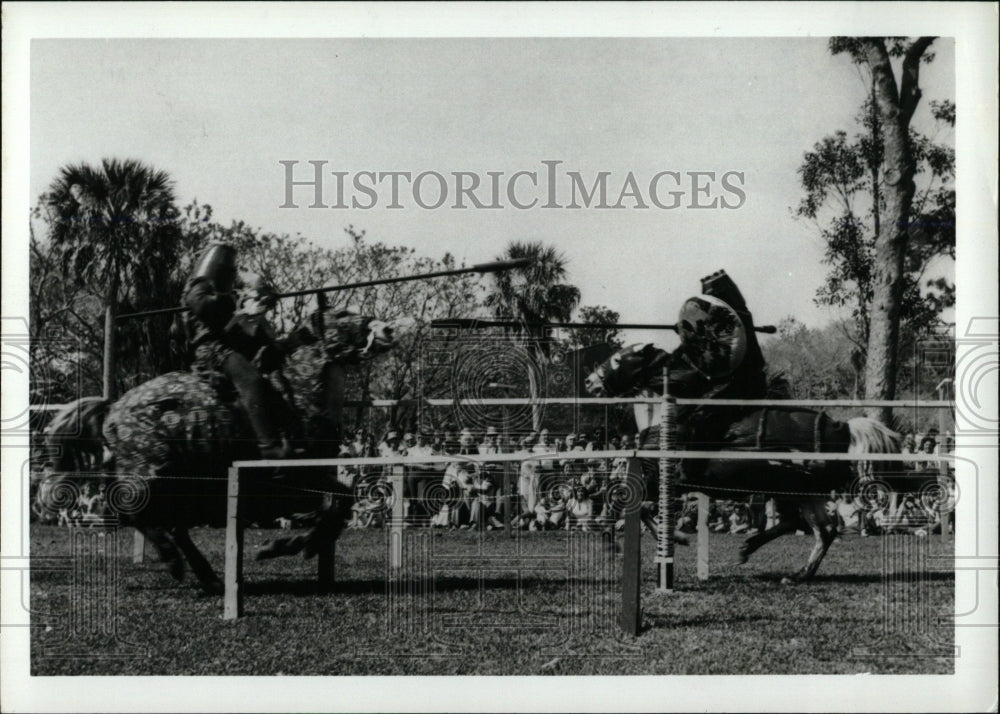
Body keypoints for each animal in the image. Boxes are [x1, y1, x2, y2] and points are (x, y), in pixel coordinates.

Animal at [42, 308, 402, 592]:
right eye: (341, 315)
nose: (387, 329)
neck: (296, 397)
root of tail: (113, 407)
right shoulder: (290, 483)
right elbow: (336, 503)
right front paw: (281, 546)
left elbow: (340, 502)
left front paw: (294, 545)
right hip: (151, 475)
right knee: (133, 510)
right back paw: (174, 562)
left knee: (169, 524)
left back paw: (208, 577)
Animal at [584, 342, 920, 580]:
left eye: (618, 359)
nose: (589, 382)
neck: (668, 419)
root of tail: (843, 430)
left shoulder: (663, 481)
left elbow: (627, 502)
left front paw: (671, 538)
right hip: (801, 492)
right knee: (822, 529)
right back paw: (793, 571)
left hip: (788, 489)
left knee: (809, 526)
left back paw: (769, 559)